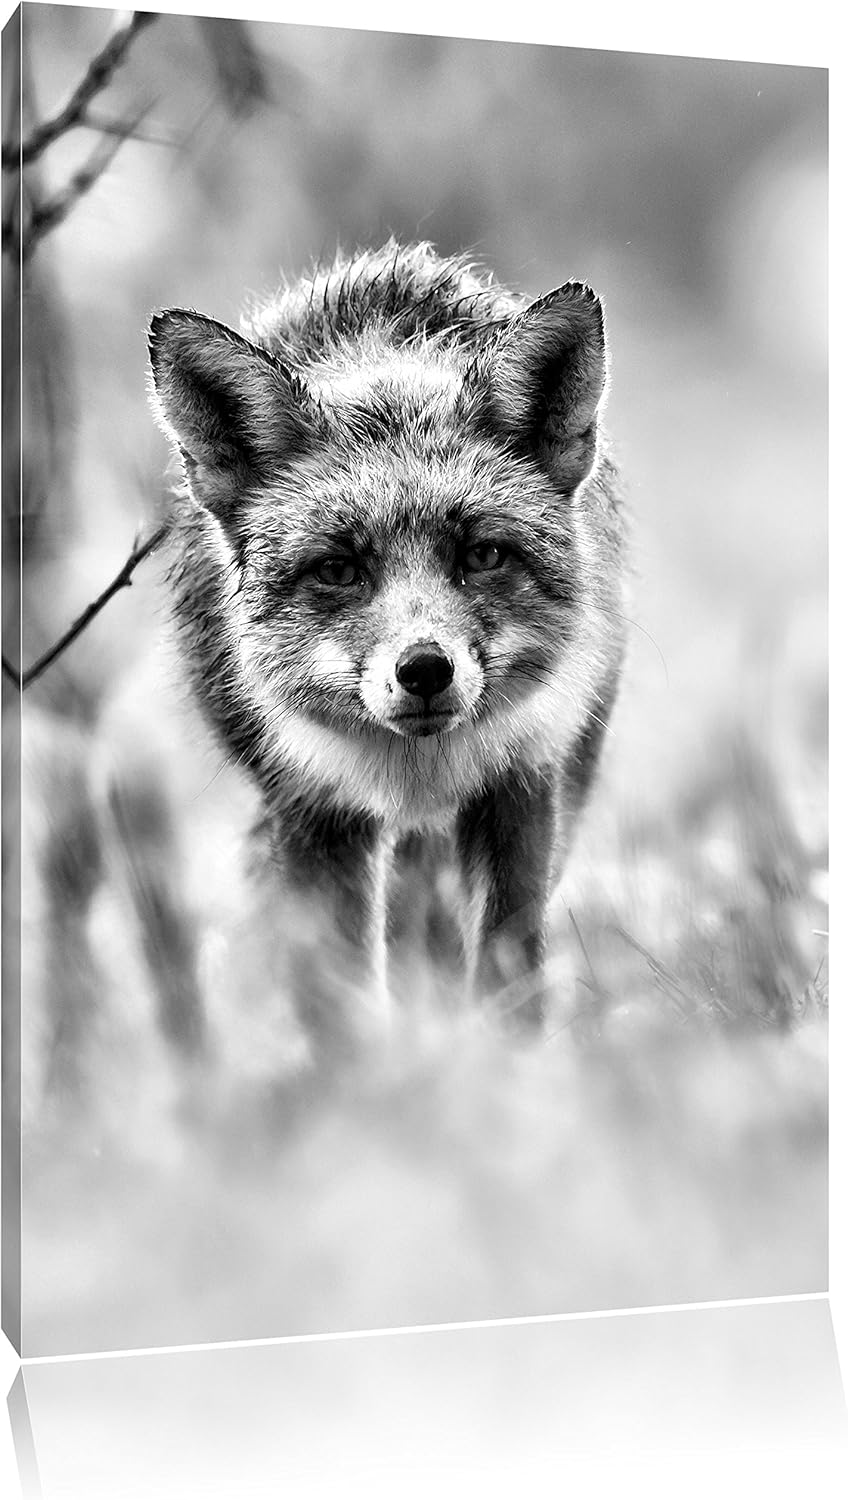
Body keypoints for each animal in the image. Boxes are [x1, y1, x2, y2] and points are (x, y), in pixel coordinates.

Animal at [147, 241, 627, 1042]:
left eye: (483, 555)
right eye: (339, 569)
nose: (425, 669)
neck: (417, 772)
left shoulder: (523, 782)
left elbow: (508, 971)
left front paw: (511, 1068)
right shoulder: (313, 810)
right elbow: (335, 1000)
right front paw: (370, 1078)